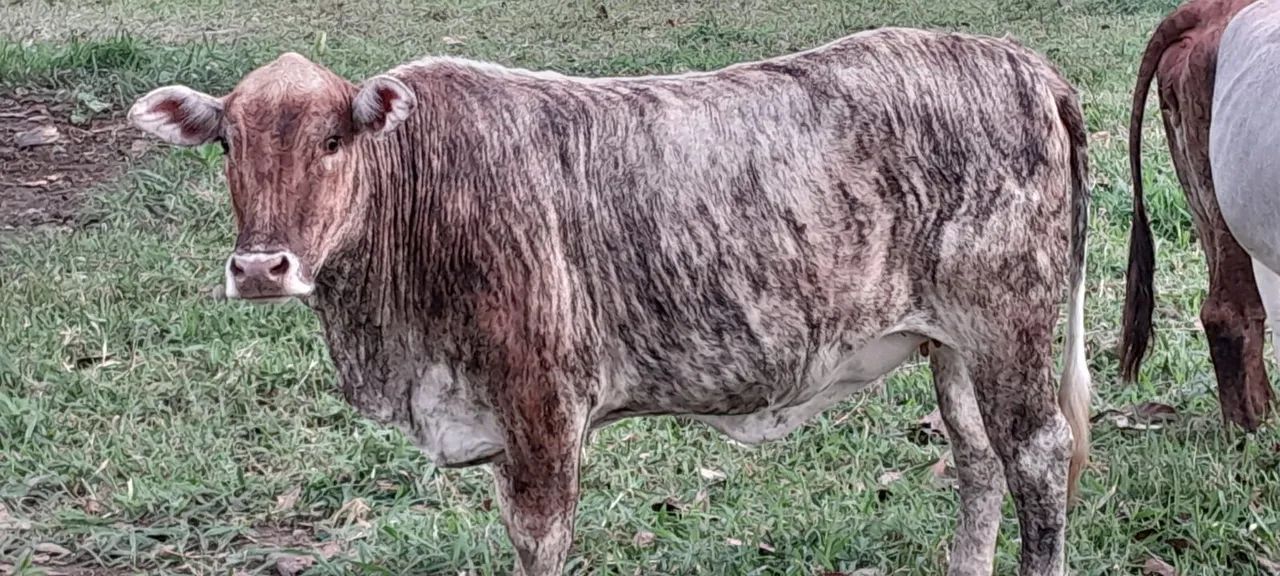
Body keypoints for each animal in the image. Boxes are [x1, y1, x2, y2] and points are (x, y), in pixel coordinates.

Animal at [128, 26, 1092, 576]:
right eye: (227, 143)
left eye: (333, 139)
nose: (262, 267)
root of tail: (1025, 63)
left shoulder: (544, 409)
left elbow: (541, 542)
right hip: (952, 343)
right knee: (977, 459)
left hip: (1009, 322)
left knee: (1037, 456)